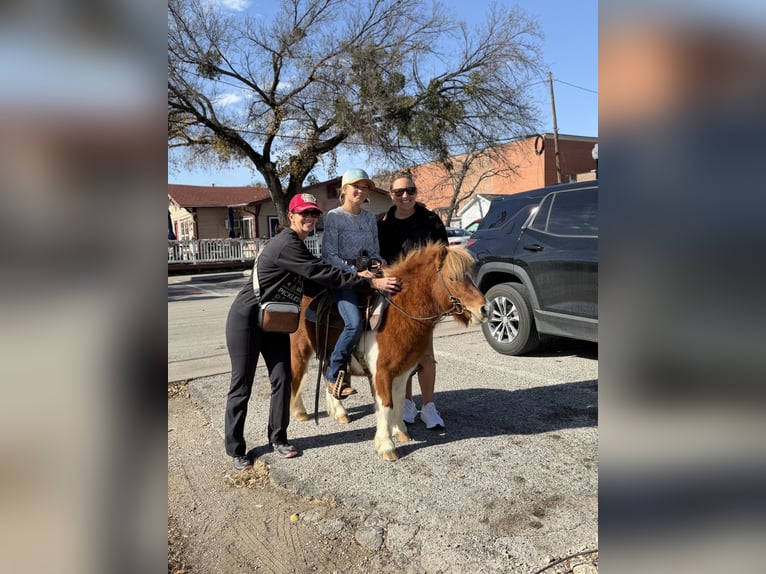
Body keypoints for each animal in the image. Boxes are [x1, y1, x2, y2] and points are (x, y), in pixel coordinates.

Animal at [289, 242, 488, 461]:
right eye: (453, 277)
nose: (485, 309)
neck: (398, 314)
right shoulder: (382, 373)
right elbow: (385, 404)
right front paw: (386, 446)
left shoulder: (402, 372)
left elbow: (398, 401)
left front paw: (400, 431)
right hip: (300, 350)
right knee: (297, 376)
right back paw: (300, 412)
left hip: (327, 354)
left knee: (328, 376)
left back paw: (339, 412)